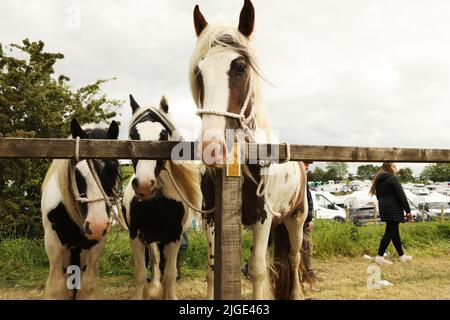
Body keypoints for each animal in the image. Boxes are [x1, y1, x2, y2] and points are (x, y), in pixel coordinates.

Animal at [40, 118, 120, 300]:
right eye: (77, 171)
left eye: (113, 167)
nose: (97, 225)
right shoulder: (53, 243)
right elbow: (57, 289)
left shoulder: (94, 246)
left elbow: (88, 288)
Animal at [121, 95, 202, 300]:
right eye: (133, 135)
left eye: (163, 135)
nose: (144, 185)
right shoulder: (137, 236)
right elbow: (141, 273)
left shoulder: (174, 237)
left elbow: (171, 273)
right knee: (155, 260)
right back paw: (154, 286)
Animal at [190, 0, 310, 300]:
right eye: (199, 71)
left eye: (240, 67)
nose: (211, 147)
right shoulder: (210, 217)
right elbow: (212, 269)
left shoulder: (262, 218)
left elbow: (257, 270)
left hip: (296, 218)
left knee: (293, 258)